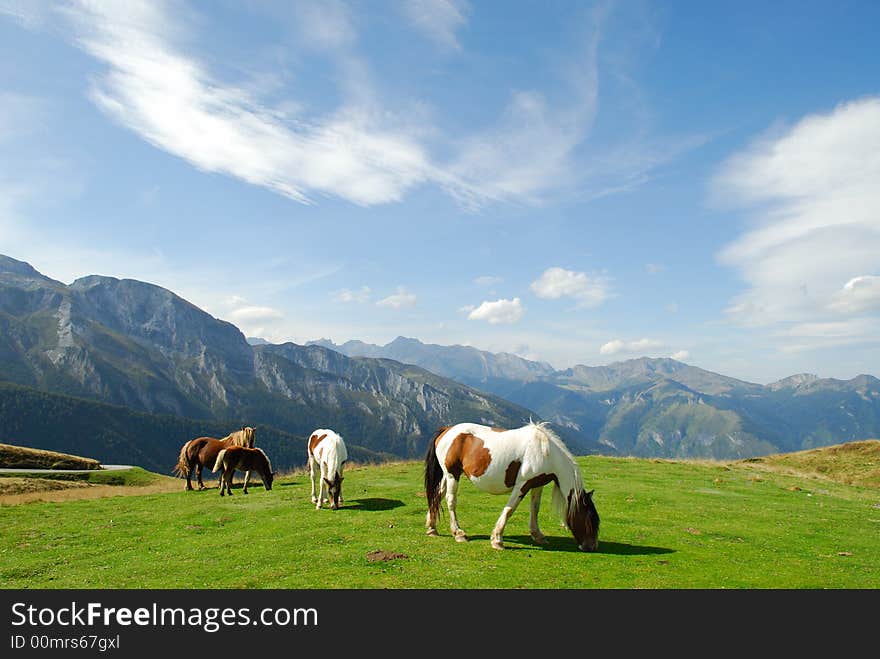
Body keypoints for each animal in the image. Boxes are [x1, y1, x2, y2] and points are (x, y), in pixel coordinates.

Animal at [422, 422, 600, 552]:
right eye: (589, 520)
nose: (591, 546)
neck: (545, 451)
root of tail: (447, 430)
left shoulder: (537, 485)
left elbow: (535, 508)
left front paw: (538, 535)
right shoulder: (523, 484)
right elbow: (509, 510)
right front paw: (497, 540)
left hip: (448, 475)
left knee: (437, 495)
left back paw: (431, 528)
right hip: (453, 475)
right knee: (450, 500)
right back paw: (458, 533)